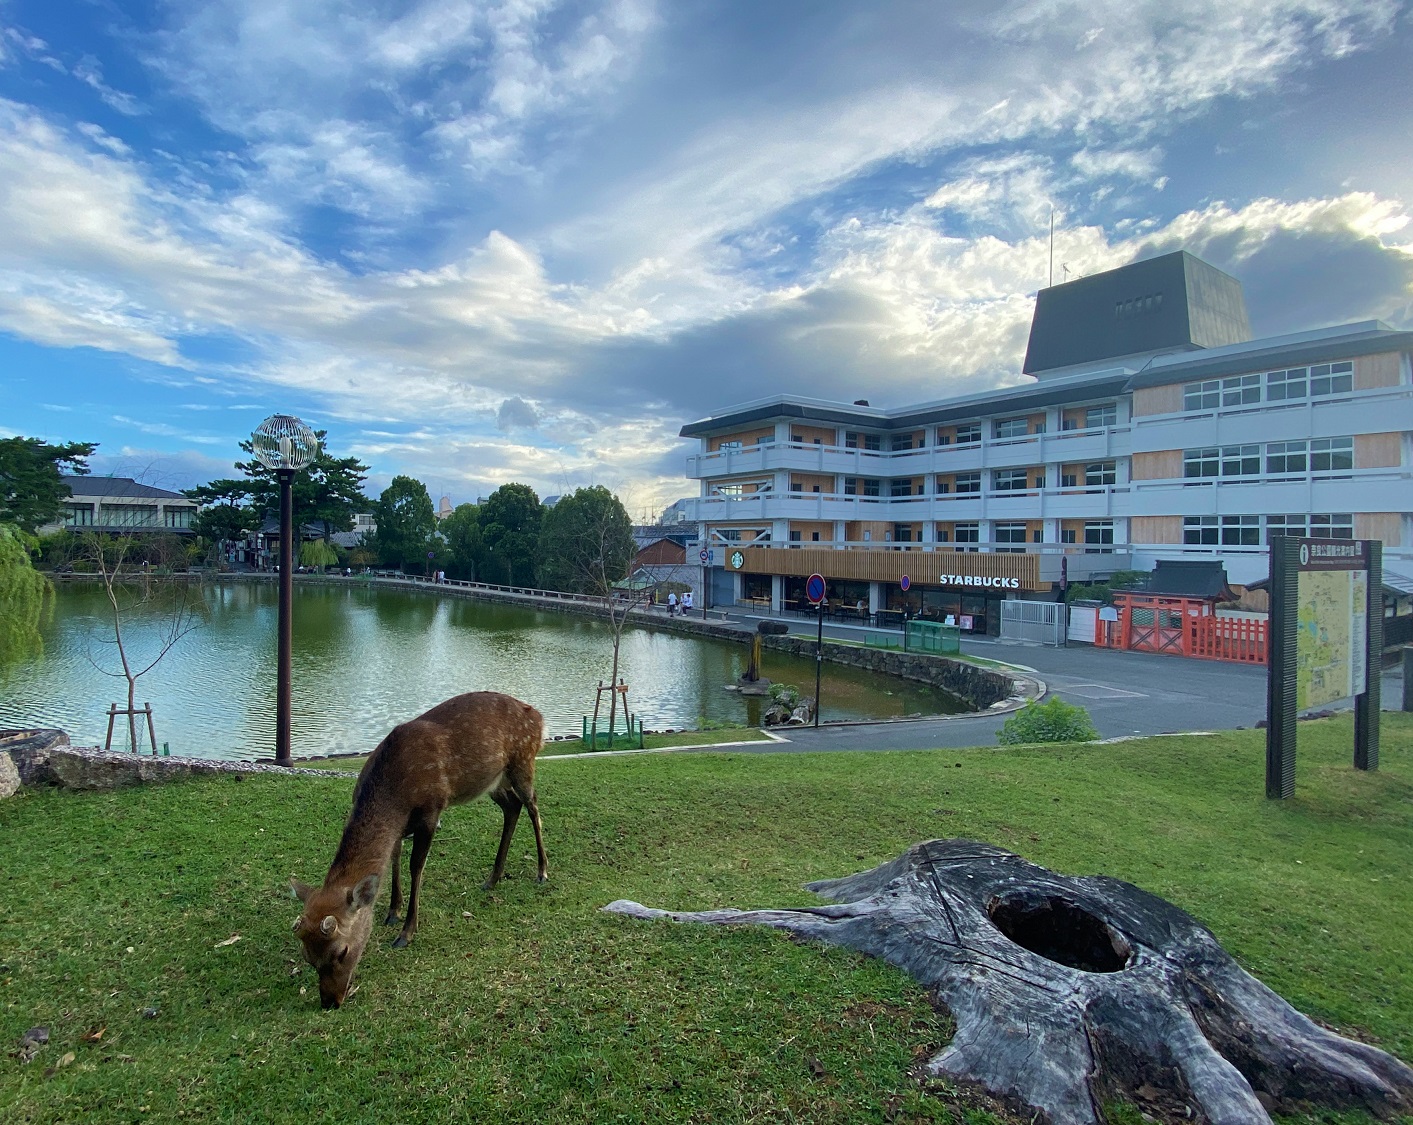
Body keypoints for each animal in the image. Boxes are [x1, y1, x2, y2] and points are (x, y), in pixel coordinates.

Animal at [291, 689, 545, 1006]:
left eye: (342, 952)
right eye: (308, 958)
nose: (330, 1002)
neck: (395, 792)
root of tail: (539, 716)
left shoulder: (430, 811)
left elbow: (415, 867)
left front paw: (406, 933)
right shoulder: (401, 827)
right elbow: (394, 860)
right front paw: (392, 912)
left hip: (523, 761)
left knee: (533, 806)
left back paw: (542, 870)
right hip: (493, 780)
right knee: (512, 807)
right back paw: (492, 878)